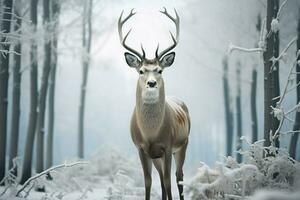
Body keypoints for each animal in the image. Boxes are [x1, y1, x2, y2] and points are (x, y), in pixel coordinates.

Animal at [118, 8, 191, 200]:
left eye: (159, 70)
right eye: (141, 71)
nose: (151, 83)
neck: (151, 133)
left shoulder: (167, 145)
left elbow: (168, 181)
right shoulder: (141, 148)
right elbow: (149, 182)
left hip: (183, 143)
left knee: (178, 176)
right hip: (157, 156)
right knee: (161, 178)